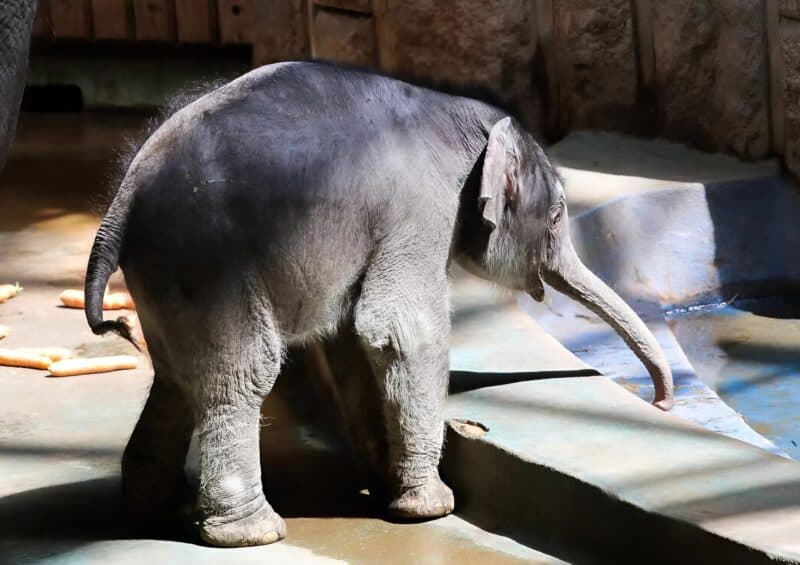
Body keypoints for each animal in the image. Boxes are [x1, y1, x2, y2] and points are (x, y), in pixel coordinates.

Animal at [82, 61, 673, 547]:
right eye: (555, 217)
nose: (663, 403)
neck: (468, 115)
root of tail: (120, 204)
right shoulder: (420, 209)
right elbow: (401, 330)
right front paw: (431, 508)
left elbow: (350, 337)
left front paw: (383, 484)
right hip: (208, 261)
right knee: (243, 371)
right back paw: (252, 534)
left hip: (168, 272)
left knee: (177, 375)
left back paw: (155, 509)